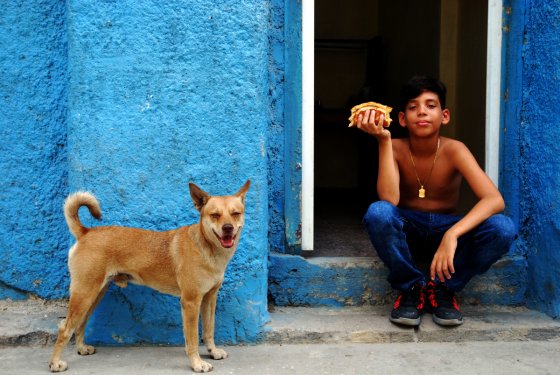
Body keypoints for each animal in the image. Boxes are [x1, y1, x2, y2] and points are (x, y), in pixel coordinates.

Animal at [49, 180, 250, 374]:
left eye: (235, 213)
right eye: (214, 215)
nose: (228, 228)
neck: (207, 246)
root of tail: (85, 232)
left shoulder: (209, 298)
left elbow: (209, 330)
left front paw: (212, 352)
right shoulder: (191, 302)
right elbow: (192, 339)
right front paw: (197, 363)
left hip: (95, 294)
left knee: (80, 323)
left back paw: (81, 348)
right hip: (84, 294)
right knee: (65, 328)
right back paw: (55, 363)